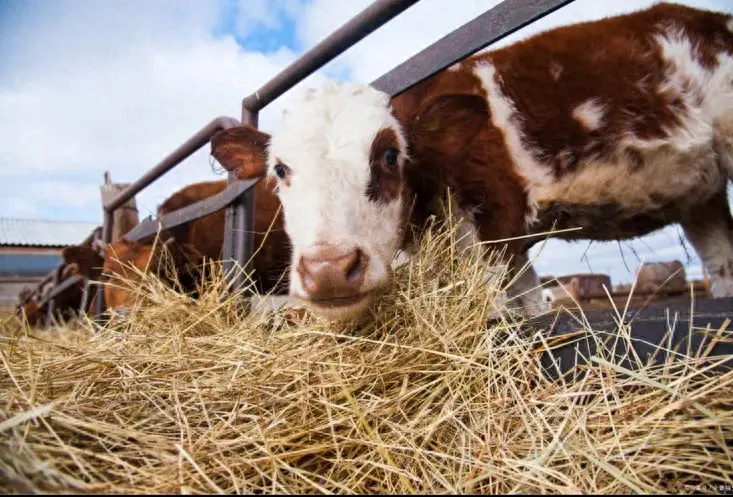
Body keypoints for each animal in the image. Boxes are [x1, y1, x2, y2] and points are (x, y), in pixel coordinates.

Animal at [209, 1, 732, 320]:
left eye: (390, 155)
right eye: (280, 169)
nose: (330, 269)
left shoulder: (498, 224)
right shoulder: (511, 247)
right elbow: (534, 307)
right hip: (702, 199)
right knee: (721, 264)